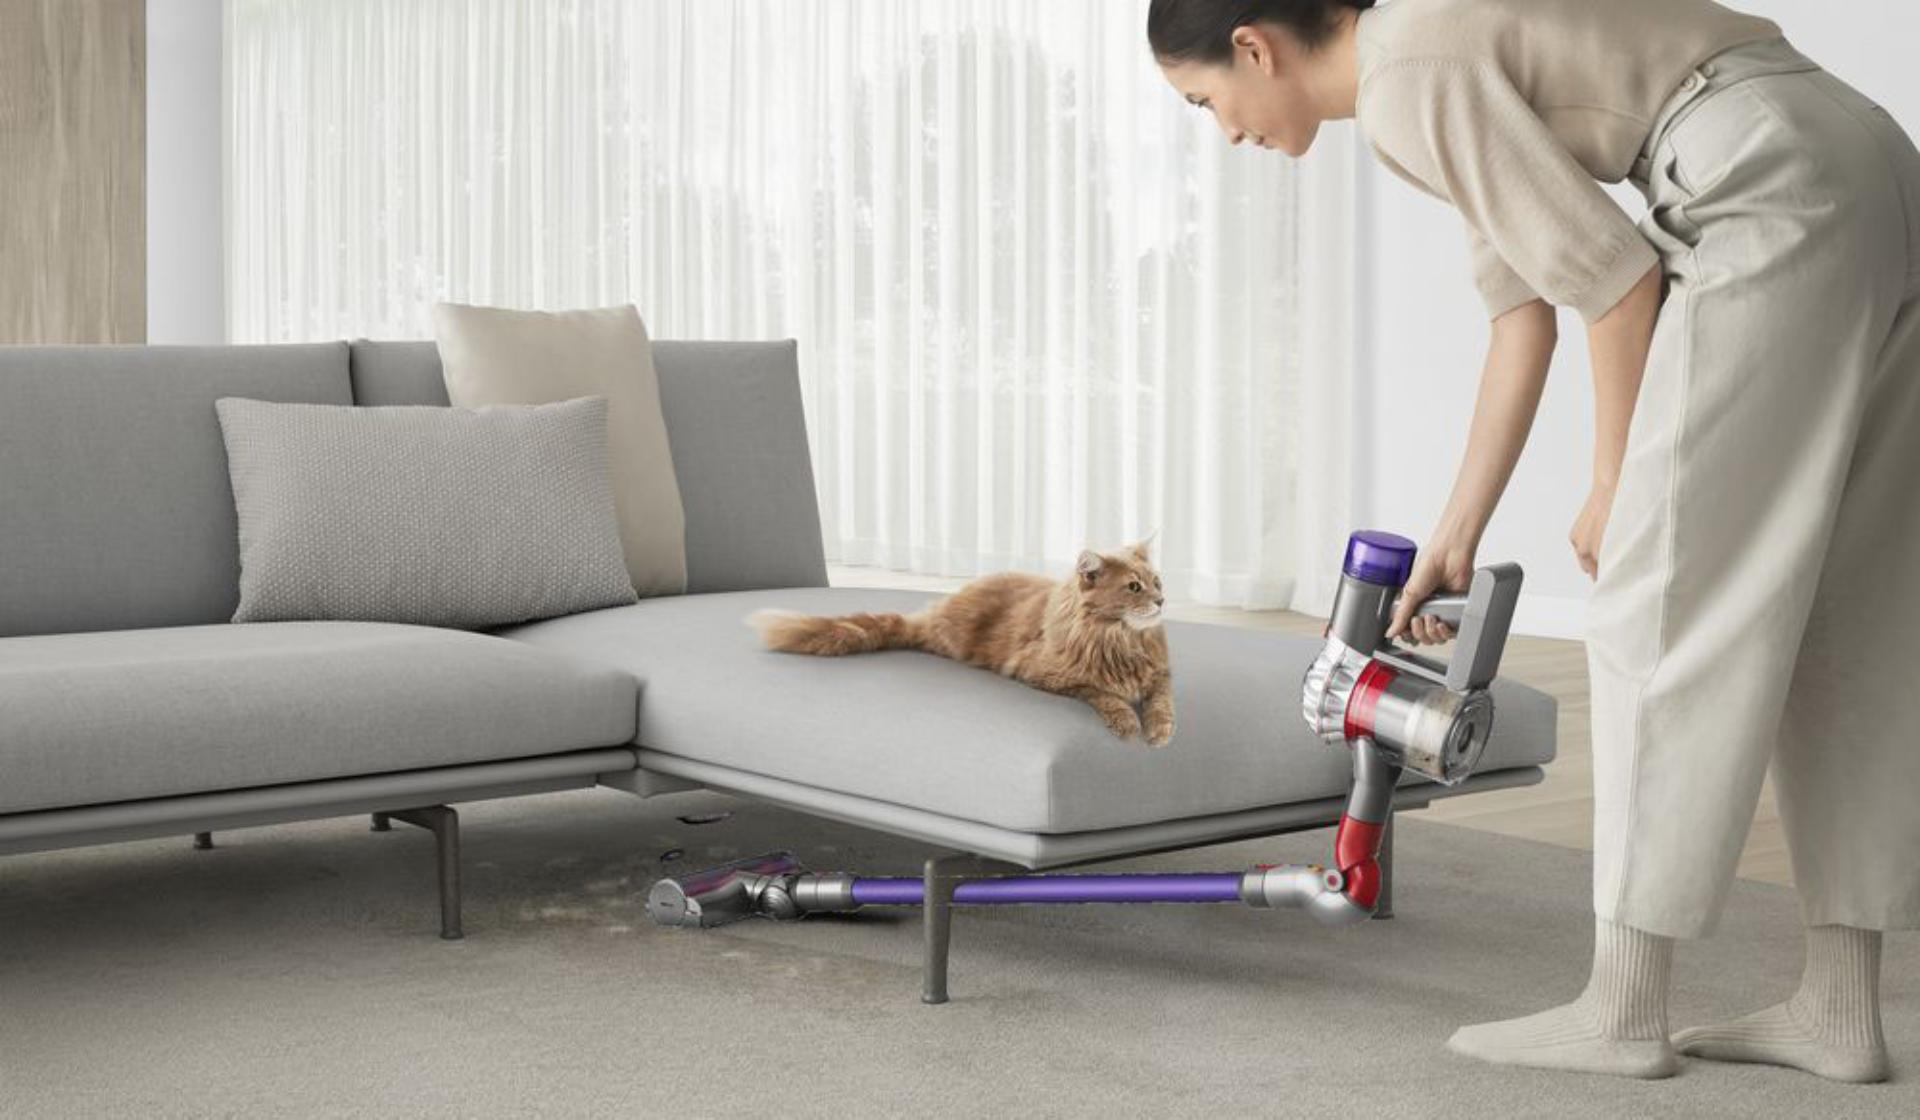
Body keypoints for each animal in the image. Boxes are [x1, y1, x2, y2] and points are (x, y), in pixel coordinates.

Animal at [744, 541, 1167, 749]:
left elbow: (1162, 701)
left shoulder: (1161, 673)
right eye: (1134, 587)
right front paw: (1129, 723)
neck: (1122, 639)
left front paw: (1160, 732)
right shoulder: (1043, 672)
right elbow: (1102, 692)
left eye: (1157, 582)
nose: (1162, 601)